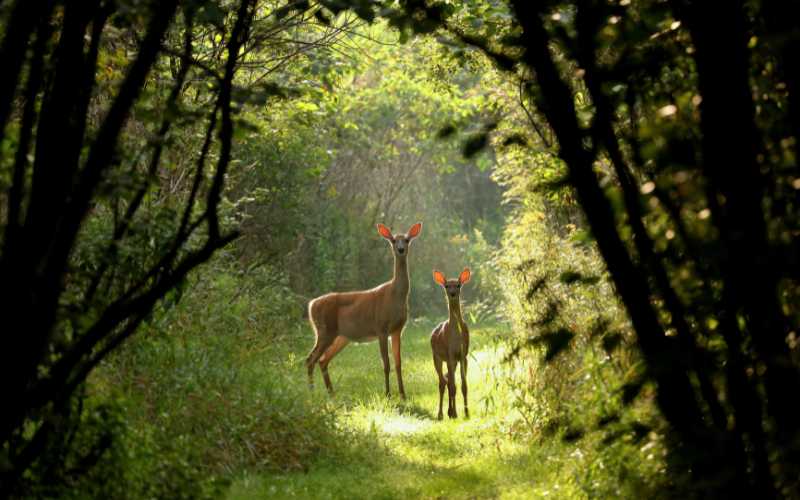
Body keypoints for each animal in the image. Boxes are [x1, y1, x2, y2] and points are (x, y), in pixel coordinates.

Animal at [304, 223, 422, 398]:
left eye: (407, 240)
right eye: (394, 240)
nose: (400, 249)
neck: (395, 295)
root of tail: (311, 305)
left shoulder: (397, 330)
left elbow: (398, 363)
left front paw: (403, 394)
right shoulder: (381, 327)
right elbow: (386, 364)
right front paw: (387, 394)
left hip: (340, 337)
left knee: (322, 360)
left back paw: (331, 393)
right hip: (325, 331)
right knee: (310, 359)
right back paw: (312, 393)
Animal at [428, 270, 472, 418]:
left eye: (458, 285)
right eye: (447, 286)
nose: (452, 293)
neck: (456, 337)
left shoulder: (463, 355)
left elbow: (463, 386)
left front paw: (466, 413)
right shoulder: (450, 354)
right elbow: (453, 386)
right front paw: (456, 413)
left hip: (451, 361)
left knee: (447, 380)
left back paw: (449, 411)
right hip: (437, 357)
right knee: (443, 382)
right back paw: (441, 414)